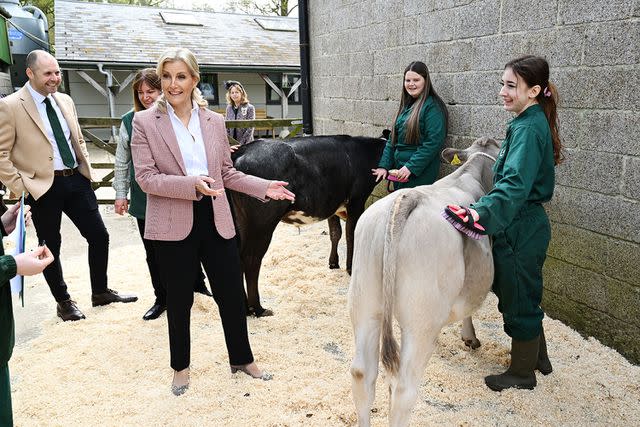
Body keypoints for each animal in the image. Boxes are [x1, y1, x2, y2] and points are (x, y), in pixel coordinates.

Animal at [230, 135, 384, 318]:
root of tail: (243, 149)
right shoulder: (356, 200)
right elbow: (351, 235)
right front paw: (351, 268)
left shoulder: (333, 205)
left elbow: (335, 233)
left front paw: (333, 263)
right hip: (261, 224)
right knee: (251, 259)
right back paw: (258, 309)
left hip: (239, 221)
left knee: (238, 260)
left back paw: (245, 309)